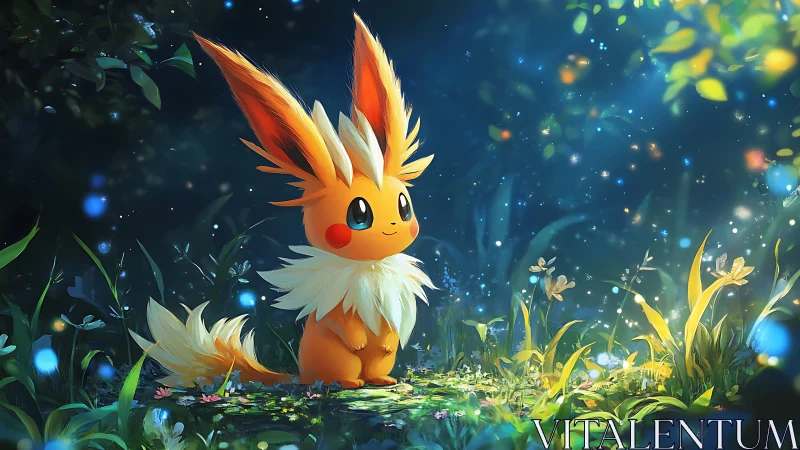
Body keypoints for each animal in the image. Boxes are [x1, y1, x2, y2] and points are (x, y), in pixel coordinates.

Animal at [130, 14, 435, 389]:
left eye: (404, 206)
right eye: (359, 214)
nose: (393, 225)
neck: (368, 267)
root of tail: (301, 374)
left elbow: (389, 334)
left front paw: (388, 343)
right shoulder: (335, 312)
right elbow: (340, 324)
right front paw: (359, 340)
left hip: (370, 364)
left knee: (376, 367)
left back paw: (382, 380)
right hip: (334, 359)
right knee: (342, 371)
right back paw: (348, 383)